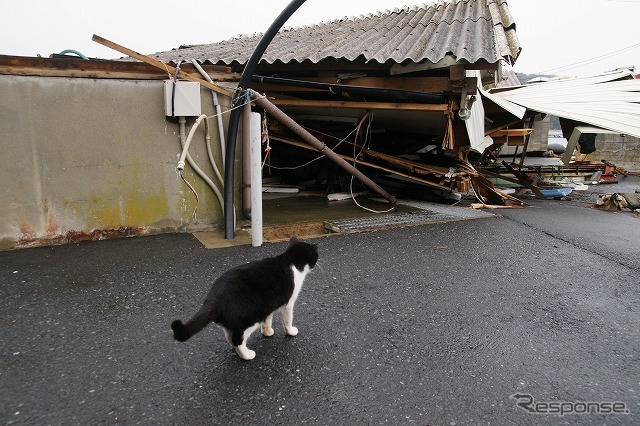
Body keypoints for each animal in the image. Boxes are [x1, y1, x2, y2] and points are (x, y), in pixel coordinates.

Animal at [171, 235, 318, 362]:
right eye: (316, 255)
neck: (289, 260)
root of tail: (214, 298)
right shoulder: (288, 304)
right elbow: (287, 320)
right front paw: (291, 331)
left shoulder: (269, 305)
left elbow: (267, 320)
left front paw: (268, 332)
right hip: (250, 318)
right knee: (237, 339)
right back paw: (247, 355)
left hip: (238, 318)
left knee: (229, 336)